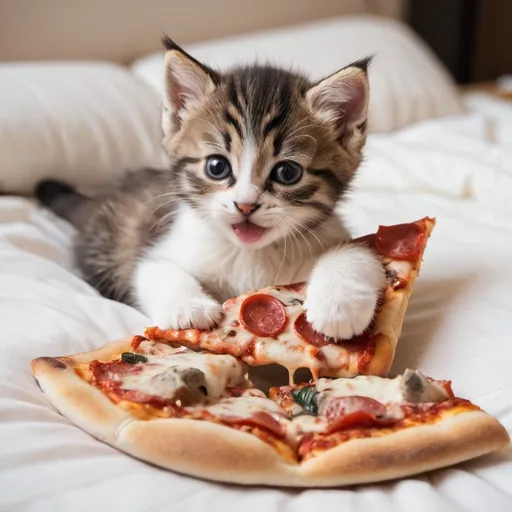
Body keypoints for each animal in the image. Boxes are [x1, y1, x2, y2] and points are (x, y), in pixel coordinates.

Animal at [36, 36, 386, 340]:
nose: (246, 205)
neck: (250, 257)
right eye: (217, 167)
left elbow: (357, 252)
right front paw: (189, 307)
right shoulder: (163, 248)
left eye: (287, 172)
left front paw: (338, 306)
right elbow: (155, 269)